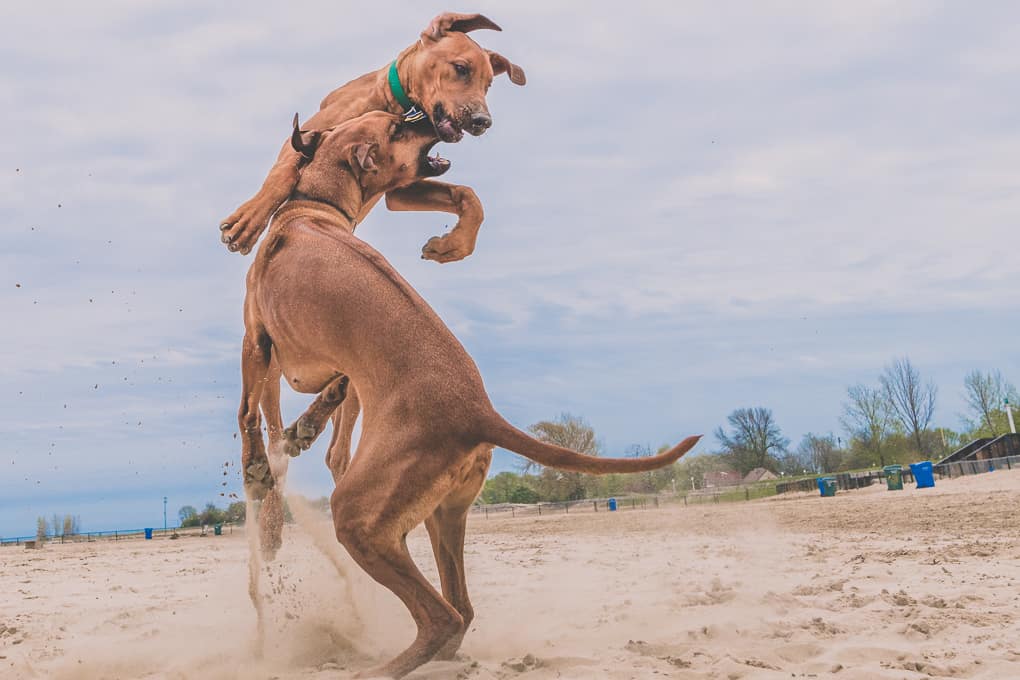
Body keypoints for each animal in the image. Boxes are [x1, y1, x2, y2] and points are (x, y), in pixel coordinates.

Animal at [221, 10, 526, 260]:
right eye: (461, 68)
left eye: (488, 85)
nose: (483, 121)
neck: (399, 104)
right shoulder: (306, 136)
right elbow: (285, 170)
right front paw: (249, 219)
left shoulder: (399, 188)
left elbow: (467, 194)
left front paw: (454, 245)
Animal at [238, 110, 701, 676]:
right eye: (396, 128)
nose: (428, 116)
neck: (314, 207)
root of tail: (478, 410)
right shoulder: (323, 367)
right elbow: (320, 399)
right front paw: (301, 431)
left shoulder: (256, 339)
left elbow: (247, 414)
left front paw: (261, 465)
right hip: (440, 511)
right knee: (461, 608)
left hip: (358, 514)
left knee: (443, 616)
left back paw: (382, 667)